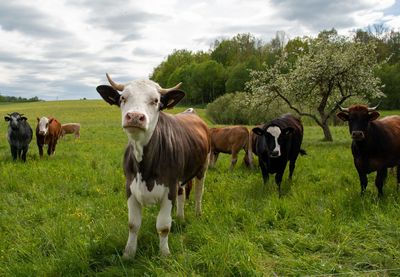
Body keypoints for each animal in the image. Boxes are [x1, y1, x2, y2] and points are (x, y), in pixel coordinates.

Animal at [96, 74, 211, 258]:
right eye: (123, 98)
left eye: (156, 100)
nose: (135, 116)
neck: (144, 167)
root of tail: (190, 111)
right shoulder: (130, 187)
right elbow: (133, 224)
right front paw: (128, 254)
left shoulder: (169, 188)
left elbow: (163, 226)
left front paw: (164, 255)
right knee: (182, 193)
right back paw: (180, 217)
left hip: (203, 167)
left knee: (199, 192)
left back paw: (197, 214)